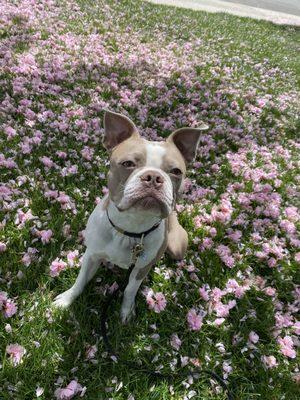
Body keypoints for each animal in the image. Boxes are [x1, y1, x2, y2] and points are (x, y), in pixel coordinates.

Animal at [54, 111, 207, 324]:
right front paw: (67, 300)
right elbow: (80, 280)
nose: (154, 177)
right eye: (128, 164)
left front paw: (126, 312)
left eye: (176, 172)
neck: (131, 227)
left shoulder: (141, 269)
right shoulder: (91, 255)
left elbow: (129, 290)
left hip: (176, 247)